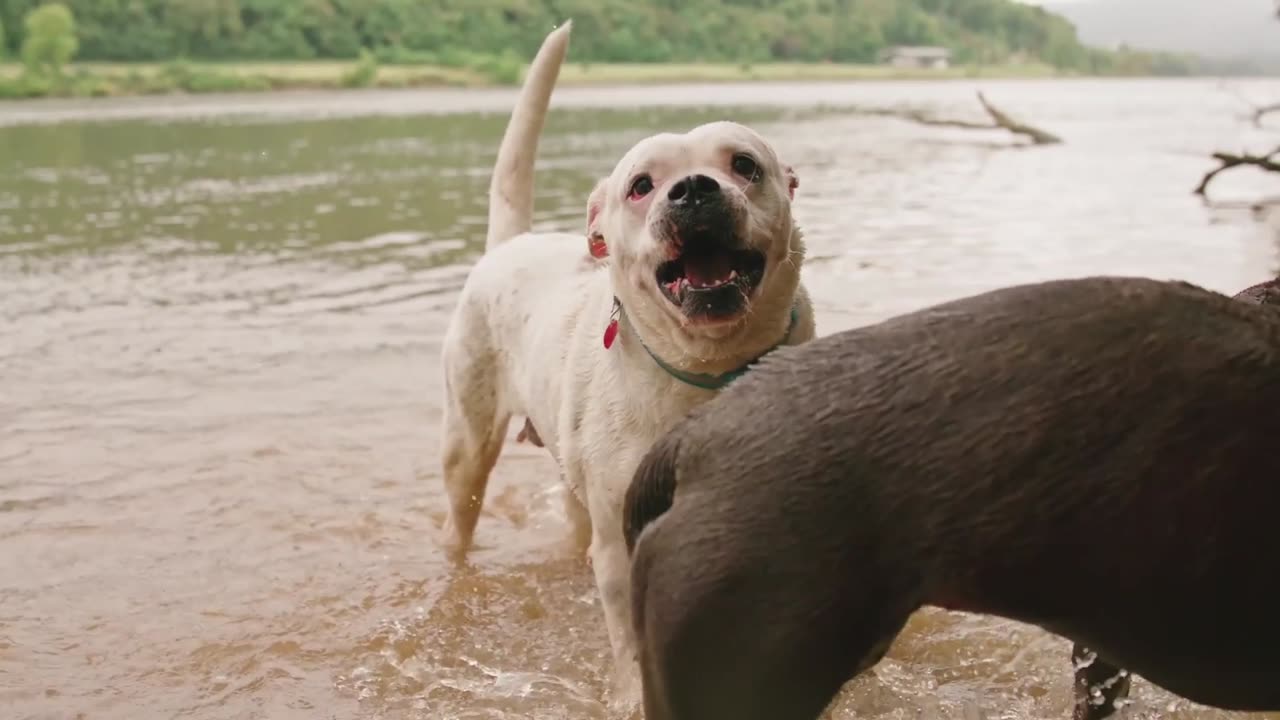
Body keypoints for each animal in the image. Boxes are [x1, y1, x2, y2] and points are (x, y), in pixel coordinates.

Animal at [440, 22, 814, 707]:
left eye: (745, 165)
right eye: (642, 185)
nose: (693, 189)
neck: (708, 373)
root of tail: (511, 243)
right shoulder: (623, 545)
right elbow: (635, 644)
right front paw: (635, 700)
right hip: (467, 444)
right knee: (460, 515)